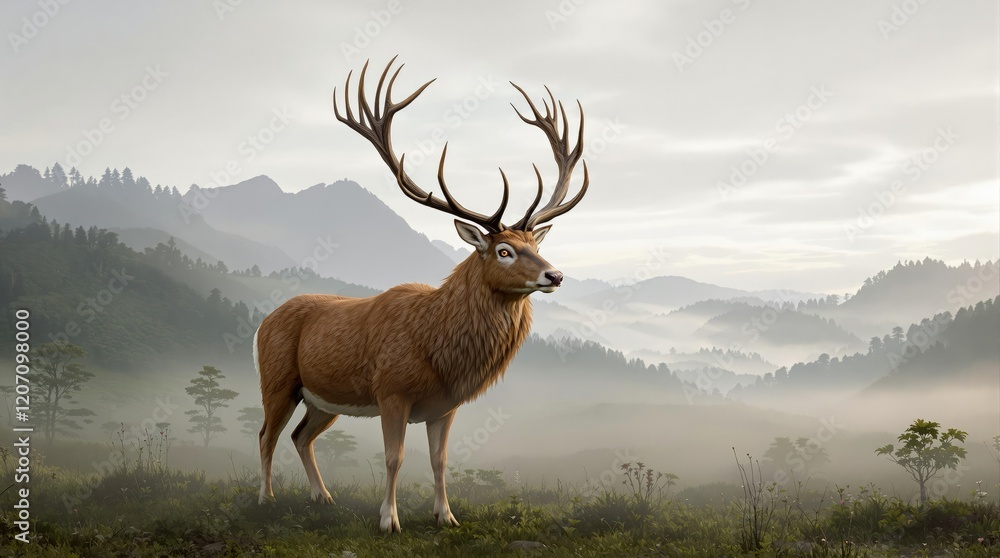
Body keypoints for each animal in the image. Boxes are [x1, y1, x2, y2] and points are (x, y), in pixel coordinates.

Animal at [254, 57, 588, 533]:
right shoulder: (392, 390)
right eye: (503, 250)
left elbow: (439, 460)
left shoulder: (445, 406)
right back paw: (265, 498)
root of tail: (263, 321)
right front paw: (388, 521)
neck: (439, 350)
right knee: (267, 434)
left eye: (535, 245)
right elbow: (394, 458)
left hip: (324, 397)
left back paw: (323, 498)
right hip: (278, 378)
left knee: (301, 436)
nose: (555, 275)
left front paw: (446, 516)